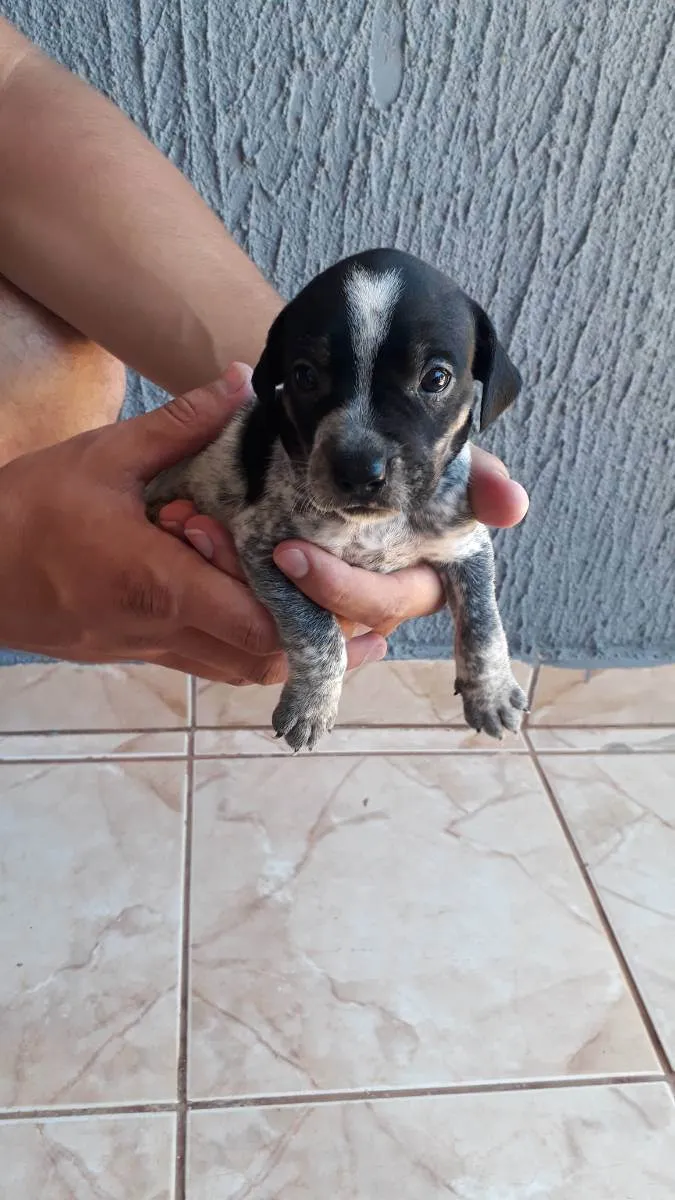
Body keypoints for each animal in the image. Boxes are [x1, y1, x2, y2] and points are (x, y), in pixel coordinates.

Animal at [145, 247, 526, 744]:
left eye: (436, 378)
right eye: (305, 376)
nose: (359, 471)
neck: (377, 525)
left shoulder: (464, 544)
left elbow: (484, 624)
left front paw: (492, 691)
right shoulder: (267, 547)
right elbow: (319, 632)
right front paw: (311, 704)